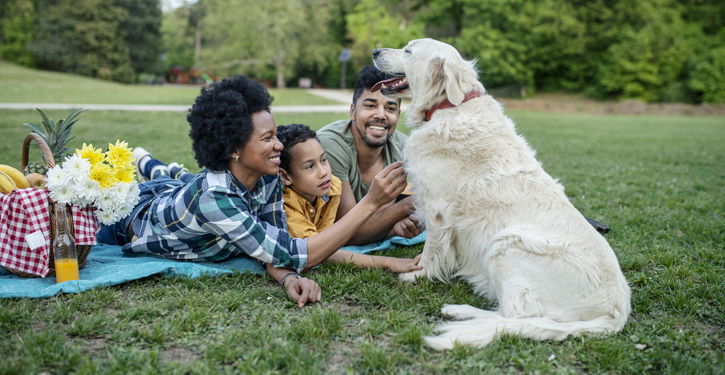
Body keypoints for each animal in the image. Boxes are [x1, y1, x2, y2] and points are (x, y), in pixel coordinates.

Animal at [370, 39, 632, 352]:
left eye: (408, 50)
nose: (374, 52)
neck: (451, 105)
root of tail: (617, 312)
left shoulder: (437, 209)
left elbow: (430, 252)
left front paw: (417, 274)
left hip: (506, 244)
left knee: (515, 316)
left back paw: (460, 312)